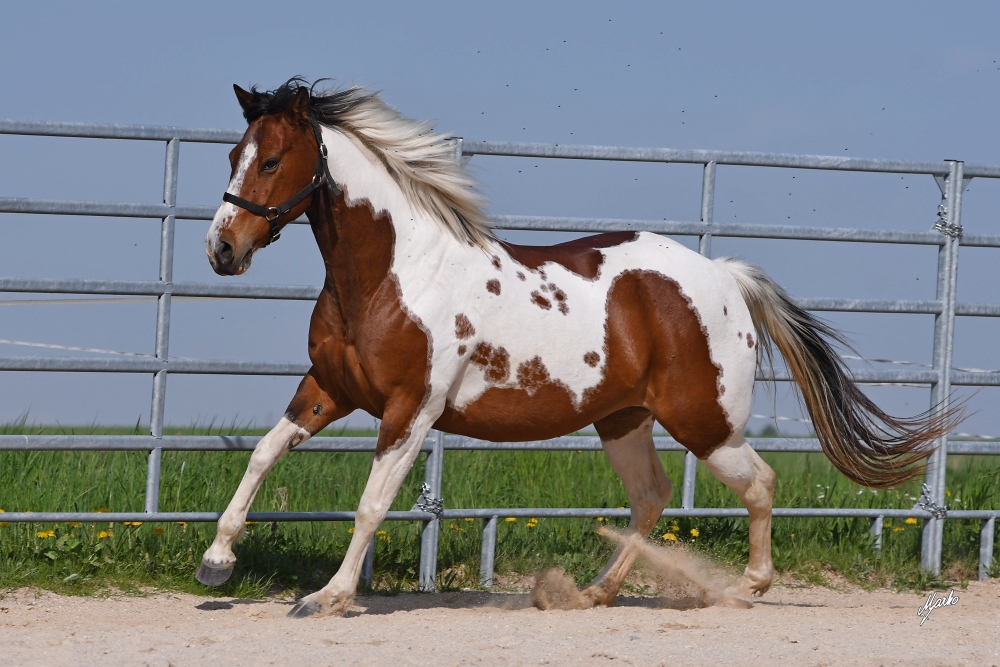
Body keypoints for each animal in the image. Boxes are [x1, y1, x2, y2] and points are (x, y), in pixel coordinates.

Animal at [197, 77, 960, 616]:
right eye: (233, 156)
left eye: (272, 160)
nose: (222, 249)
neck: (395, 271)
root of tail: (723, 278)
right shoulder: (328, 389)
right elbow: (263, 453)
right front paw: (216, 561)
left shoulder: (410, 408)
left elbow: (370, 503)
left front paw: (327, 597)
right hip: (622, 418)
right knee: (651, 497)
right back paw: (592, 592)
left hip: (705, 423)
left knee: (760, 483)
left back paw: (746, 587)